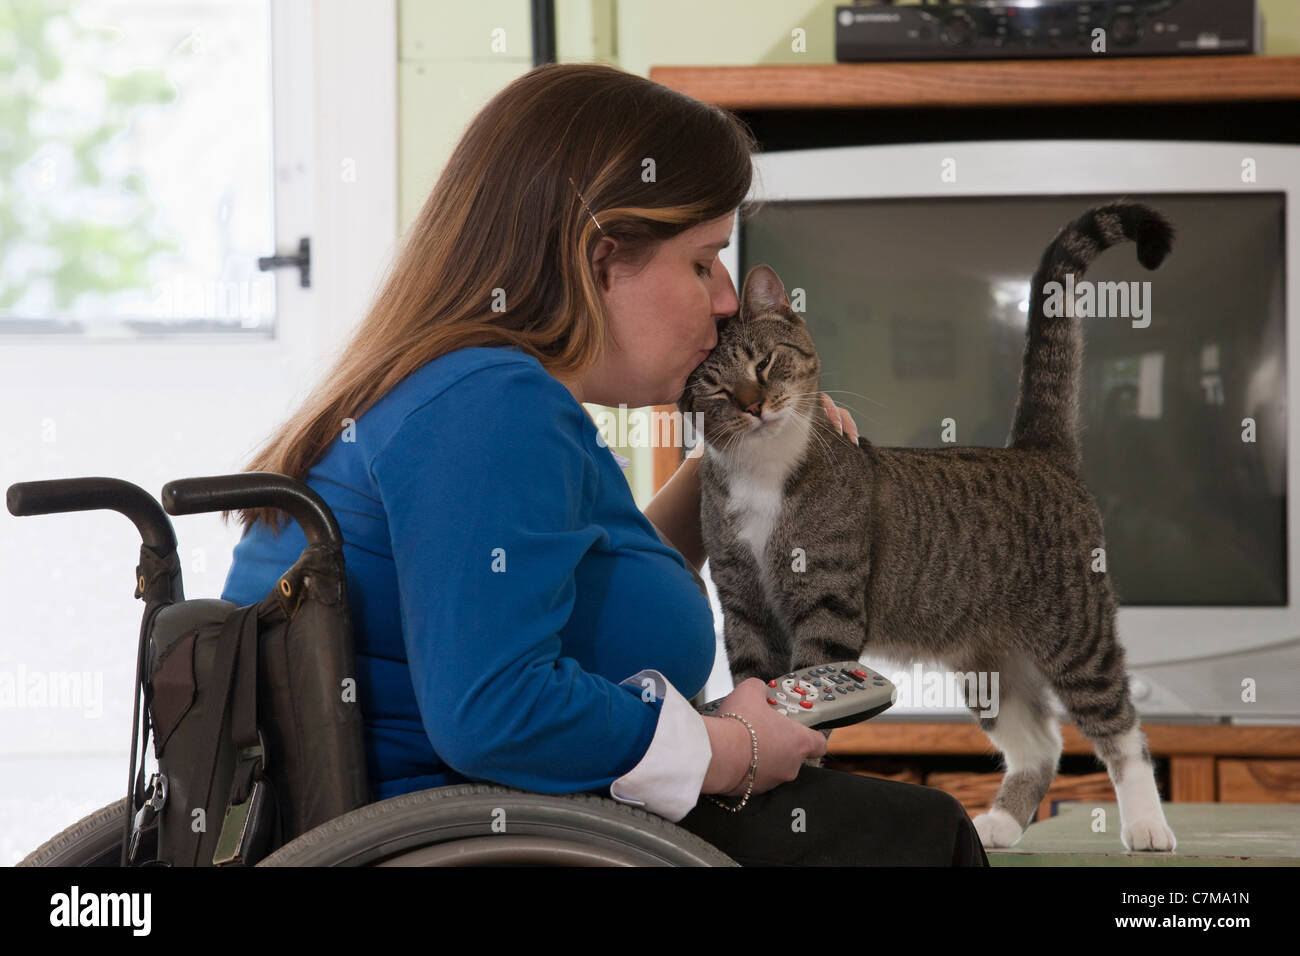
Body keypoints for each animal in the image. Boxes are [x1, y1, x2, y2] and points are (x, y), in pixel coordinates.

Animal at [686, 201, 1185, 853]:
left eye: (765, 363)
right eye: (716, 388)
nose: (753, 405)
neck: (764, 472)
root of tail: (1036, 451)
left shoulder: (828, 602)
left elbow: (807, 683)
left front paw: (795, 770)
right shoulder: (743, 604)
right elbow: (753, 679)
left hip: (1077, 632)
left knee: (1121, 727)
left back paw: (1147, 824)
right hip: (987, 664)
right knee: (1041, 743)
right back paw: (1000, 824)